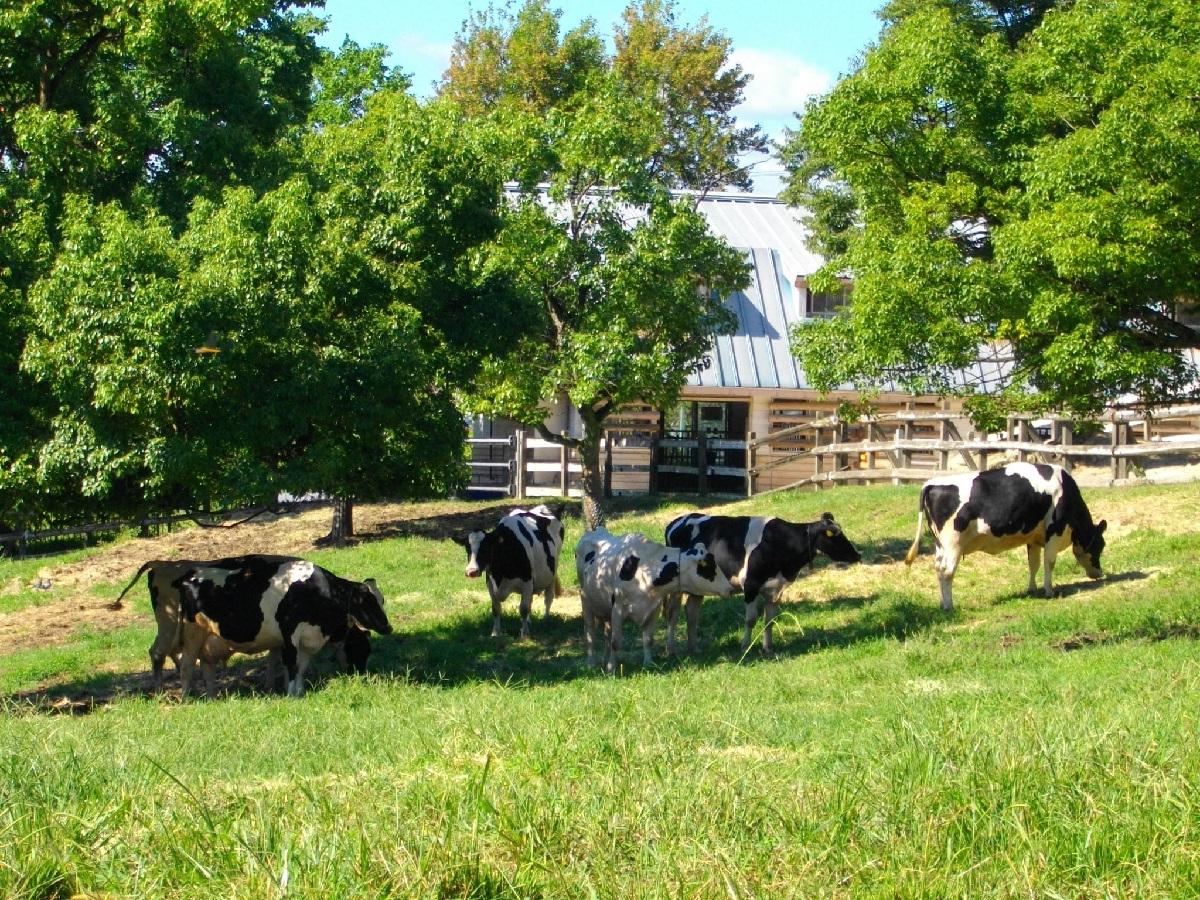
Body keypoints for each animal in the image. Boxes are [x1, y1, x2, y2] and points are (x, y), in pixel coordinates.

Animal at [453, 508, 566, 643]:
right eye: (467, 548)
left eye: (486, 547)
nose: (471, 571)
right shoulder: (490, 585)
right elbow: (496, 609)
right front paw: (495, 633)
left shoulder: (527, 582)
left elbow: (523, 609)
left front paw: (525, 634)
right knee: (531, 601)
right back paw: (530, 621)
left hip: (551, 575)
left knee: (548, 598)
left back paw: (545, 619)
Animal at [571, 532, 729, 672]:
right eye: (709, 568)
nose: (729, 587)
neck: (646, 569)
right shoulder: (618, 609)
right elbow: (616, 642)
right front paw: (611, 669)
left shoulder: (654, 609)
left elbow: (648, 639)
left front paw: (648, 663)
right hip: (586, 601)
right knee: (590, 633)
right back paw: (591, 663)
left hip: (605, 609)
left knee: (606, 633)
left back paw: (605, 660)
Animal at [667, 513, 864, 657]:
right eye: (836, 536)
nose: (857, 555)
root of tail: (676, 521)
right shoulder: (751, 585)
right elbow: (751, 620)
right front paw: (745, 647)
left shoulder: (775, 590)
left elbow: (770, 620)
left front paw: (768, 648)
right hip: (675, 586)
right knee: (673, 614)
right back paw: (672, 650)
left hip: (698, 586)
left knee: (691, 612)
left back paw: (694, 648)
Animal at [902, 460, 1104, 609]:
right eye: (1101, 545)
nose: (1099, 573)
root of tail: (931, 484)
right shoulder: (1055, 530)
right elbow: (1050, 562)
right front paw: (1049, 591)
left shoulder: (1034, 537)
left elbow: (1034, 564)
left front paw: (1032, 589)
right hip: (953, 544)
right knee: (947, 572)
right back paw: (949, 606)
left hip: (940, 544)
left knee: (938, 569)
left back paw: (942, 603)